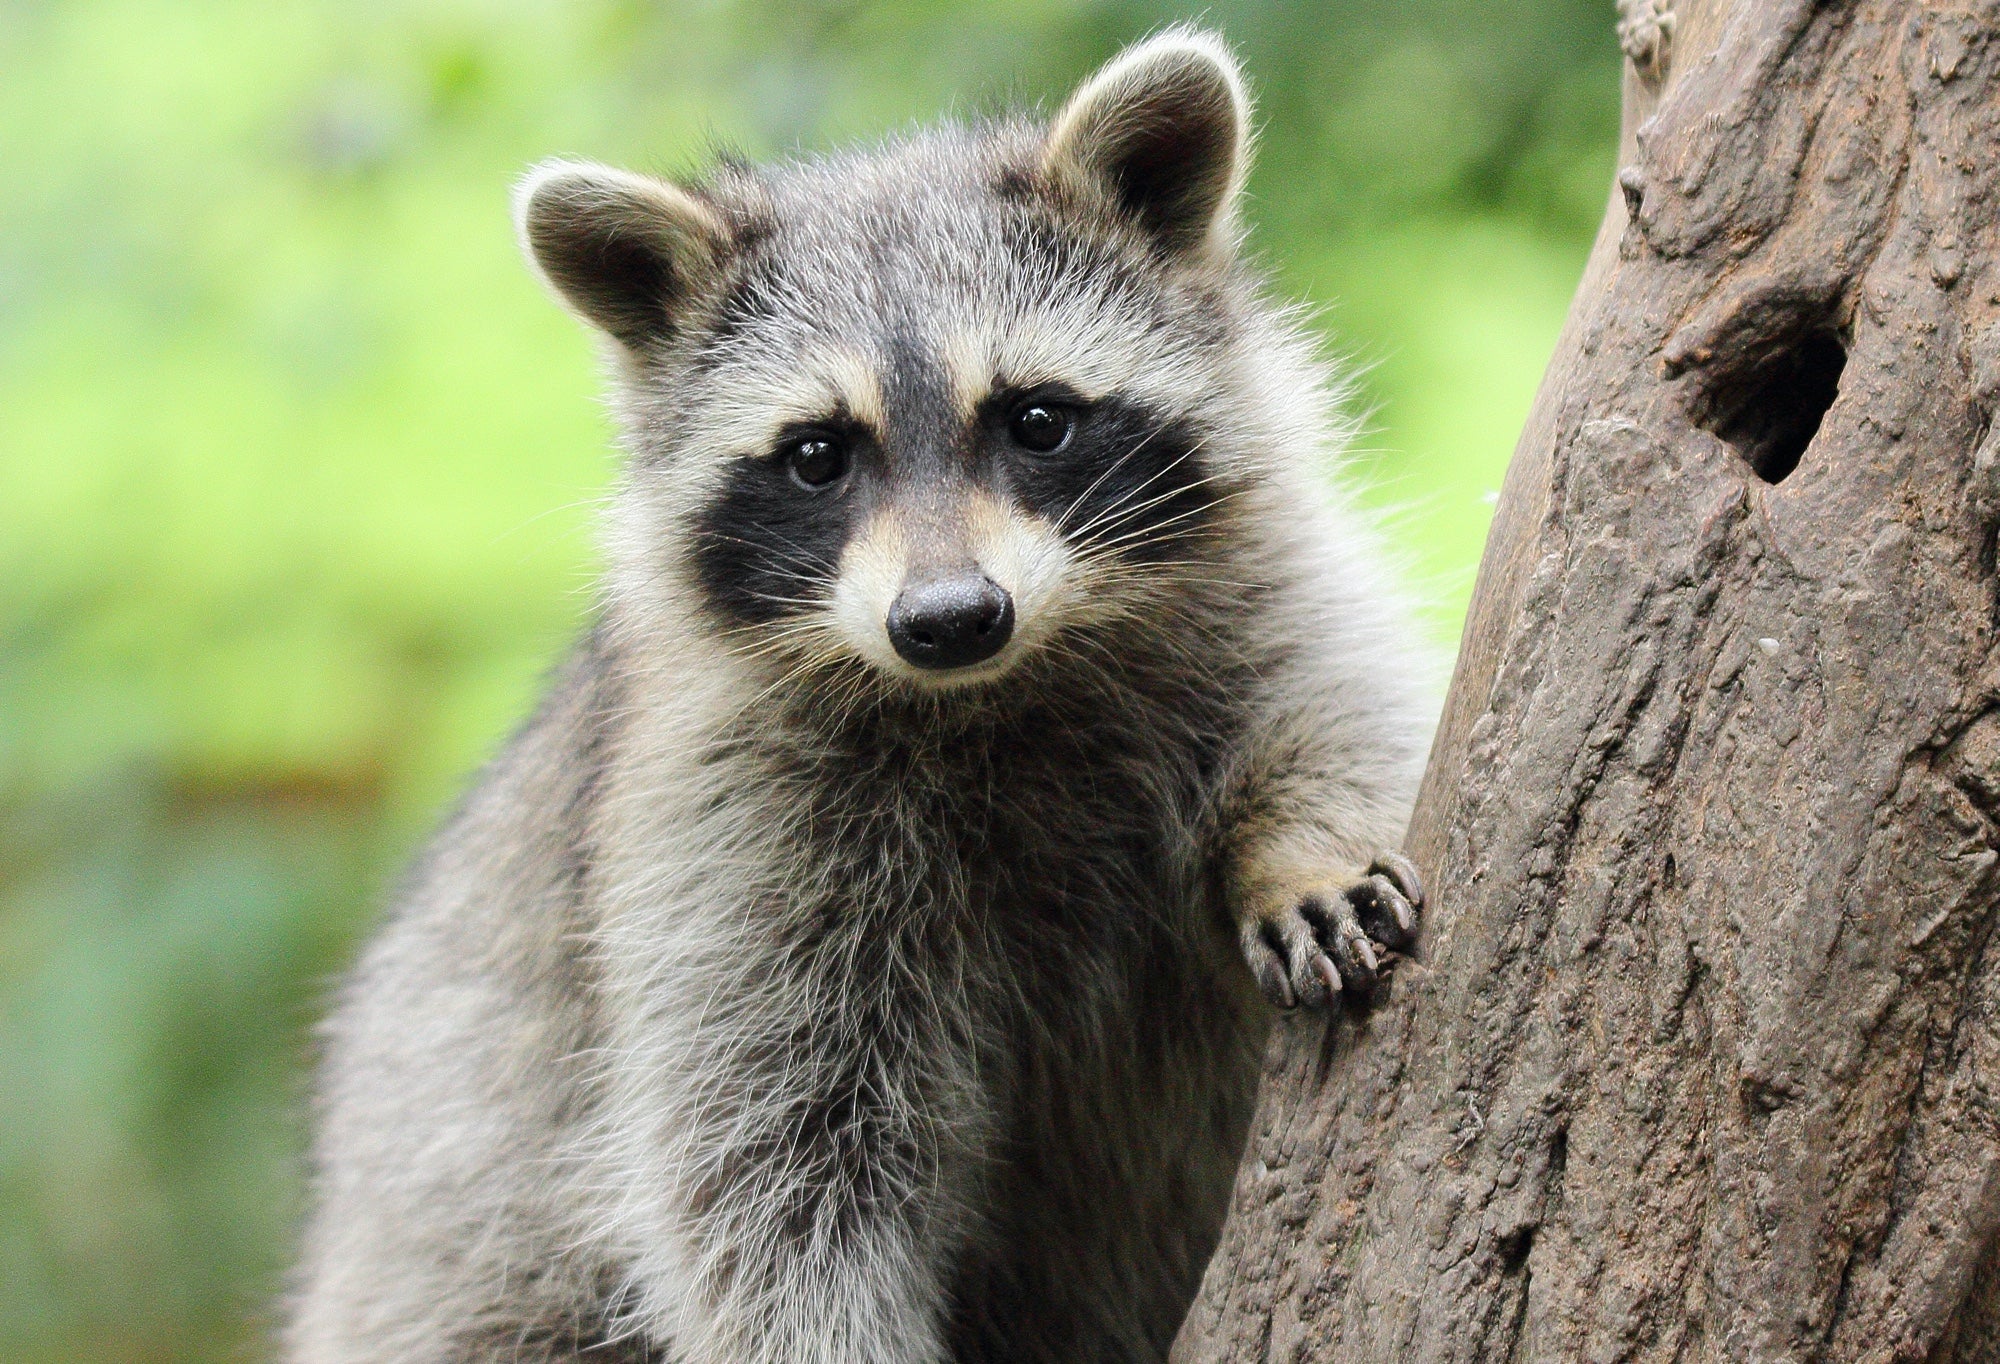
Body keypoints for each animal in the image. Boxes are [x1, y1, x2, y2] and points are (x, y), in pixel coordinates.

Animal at [286, 29, 1440, 1360]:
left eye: (1035, 419)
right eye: (815, 455)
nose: (948, 618)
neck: (1000, 688)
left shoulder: (1260, 585)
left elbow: (1342, 698)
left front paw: (1301, 843)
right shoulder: (727, 830)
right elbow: (770, 1167)